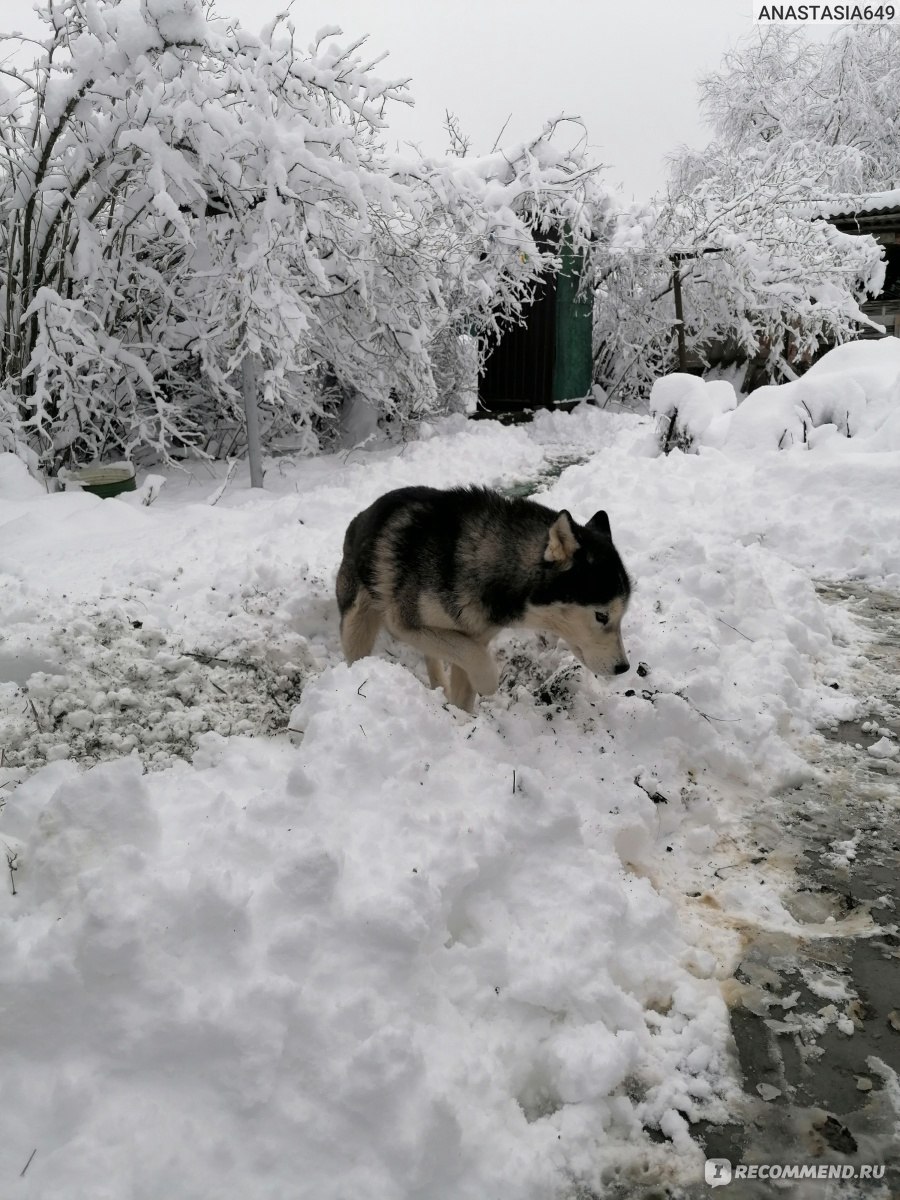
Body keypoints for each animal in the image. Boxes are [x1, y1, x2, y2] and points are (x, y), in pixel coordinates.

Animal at [336, 487, 633, 710]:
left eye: (622, 616)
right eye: (601, 615)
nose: (623, 667)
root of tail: (359, 516)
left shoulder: (473, 636)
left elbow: (466, 671)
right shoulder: (404, 623)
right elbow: (479, 664)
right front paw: (487, 683)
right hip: (357, 625)